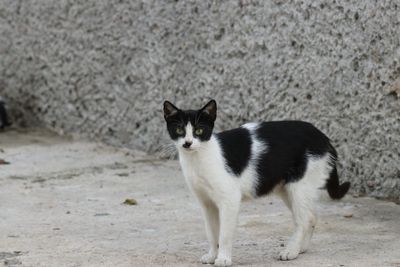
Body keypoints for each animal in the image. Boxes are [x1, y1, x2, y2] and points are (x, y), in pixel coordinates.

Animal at [162, 99, 350, 266]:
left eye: (199, 131)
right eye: (179, 129)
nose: (187, 143)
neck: (199, 157)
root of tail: (323, 136)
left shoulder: (229, 199)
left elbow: (224, 234)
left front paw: (223, 259)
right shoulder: (207, 203)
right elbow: (212, 233)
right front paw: (212, 255)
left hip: (299, 187)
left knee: (304, 219)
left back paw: (291, 251)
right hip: (288, 190)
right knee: (311, 216)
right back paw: (301, 248)